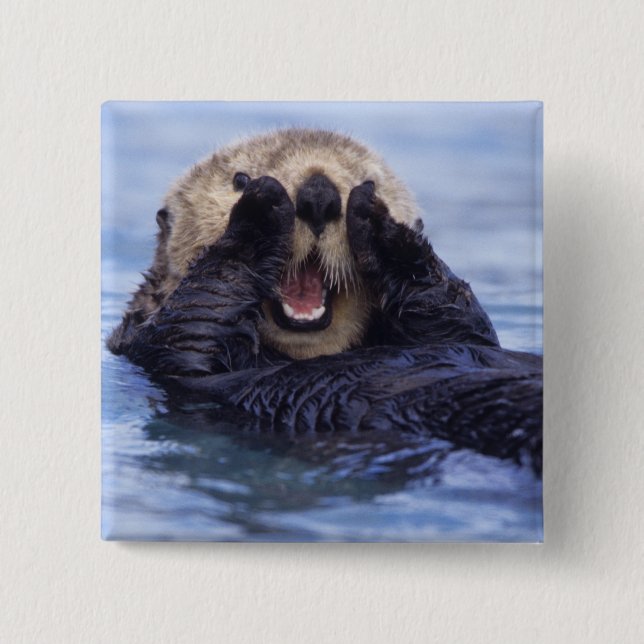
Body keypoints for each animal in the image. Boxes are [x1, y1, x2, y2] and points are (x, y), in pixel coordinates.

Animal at [108, 129, 542, 474]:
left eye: (369, 179)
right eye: (239, 178)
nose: (319, 194)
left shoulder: (462, 331)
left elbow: (460, 318)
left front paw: (383, 227)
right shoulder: (158, 347)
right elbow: (196, 318)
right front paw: (260, 210)